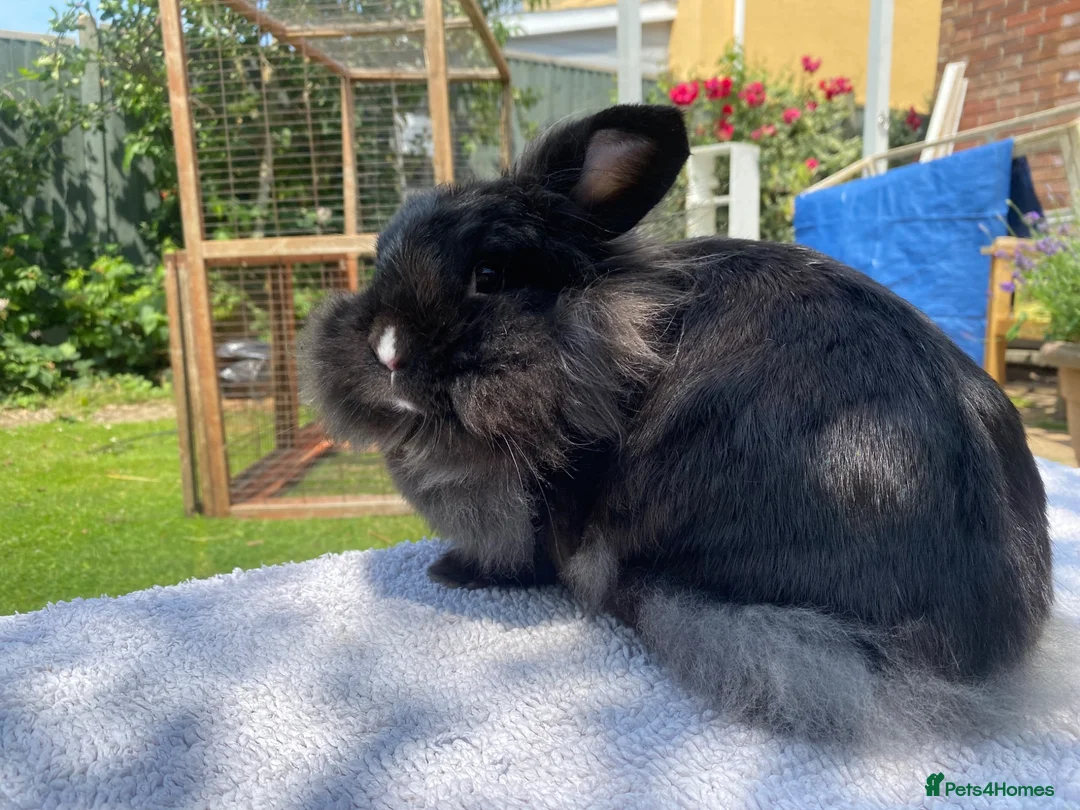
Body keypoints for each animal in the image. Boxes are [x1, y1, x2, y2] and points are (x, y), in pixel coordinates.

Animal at [299, 104, 1055, 741]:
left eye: (488, 276)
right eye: (380, 259)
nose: (386, 350)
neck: (609, 335)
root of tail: (974, 639)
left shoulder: (542, 515)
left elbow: (524, 558)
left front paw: (452, 573)